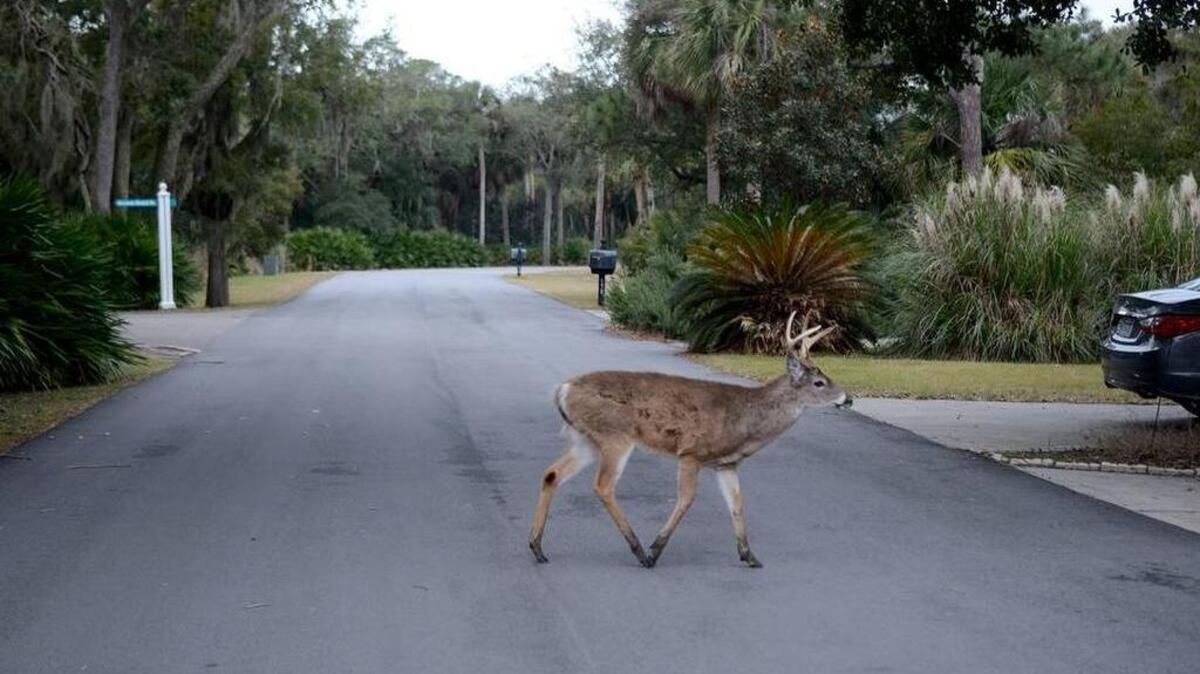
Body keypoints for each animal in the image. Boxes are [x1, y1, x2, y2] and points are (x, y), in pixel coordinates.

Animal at [529, 312, 852, 569]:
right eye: (819, 383)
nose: (848, 398)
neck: (745, 422)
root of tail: (563, 389)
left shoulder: (726, 464)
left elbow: (737, 504)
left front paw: (749, 556)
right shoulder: (692, 452)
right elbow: (686, 500)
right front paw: (656, 549)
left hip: (588, 440)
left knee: (552, 473)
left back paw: (537, 548)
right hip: (615, 435)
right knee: (603, 486)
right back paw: (639, 551)